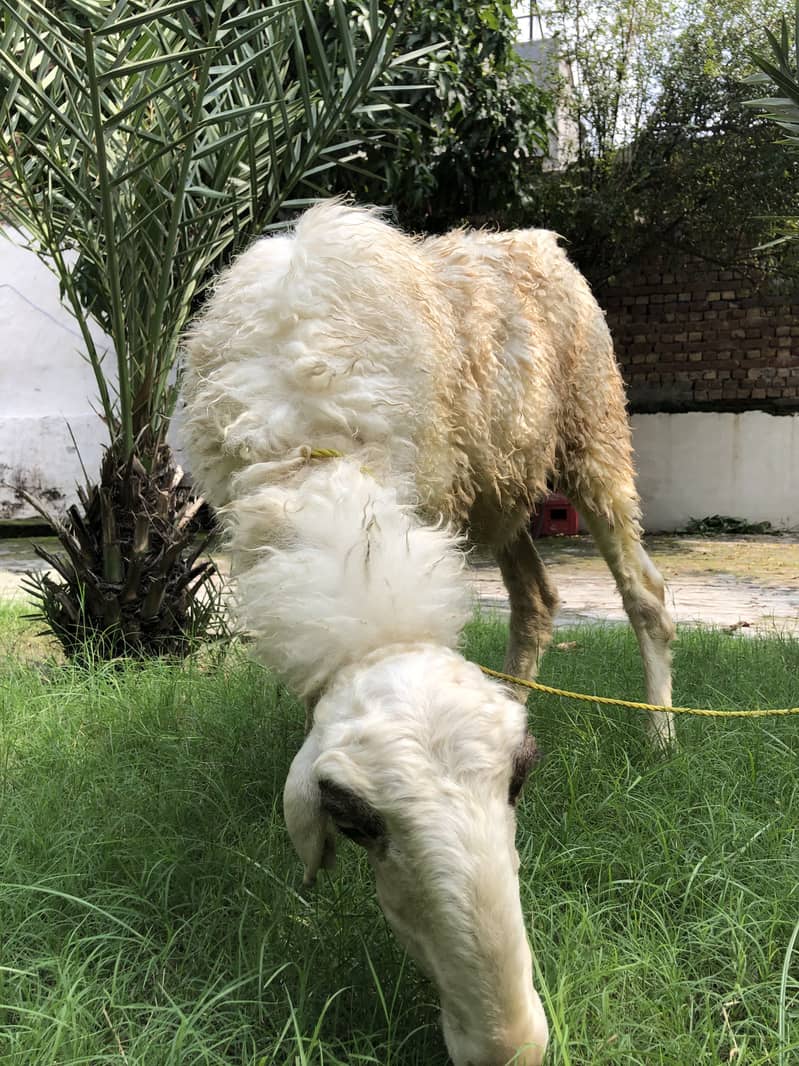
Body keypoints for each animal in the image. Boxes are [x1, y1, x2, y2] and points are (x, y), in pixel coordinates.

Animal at [180, 200, 676, 1066]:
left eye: (519, 782)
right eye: (352, 819)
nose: (509, 1048)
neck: (319, 455)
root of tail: (528, 237)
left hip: (592, 429)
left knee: (643, 593)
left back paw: (660, 736)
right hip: (501, 485)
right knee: (537, 598)